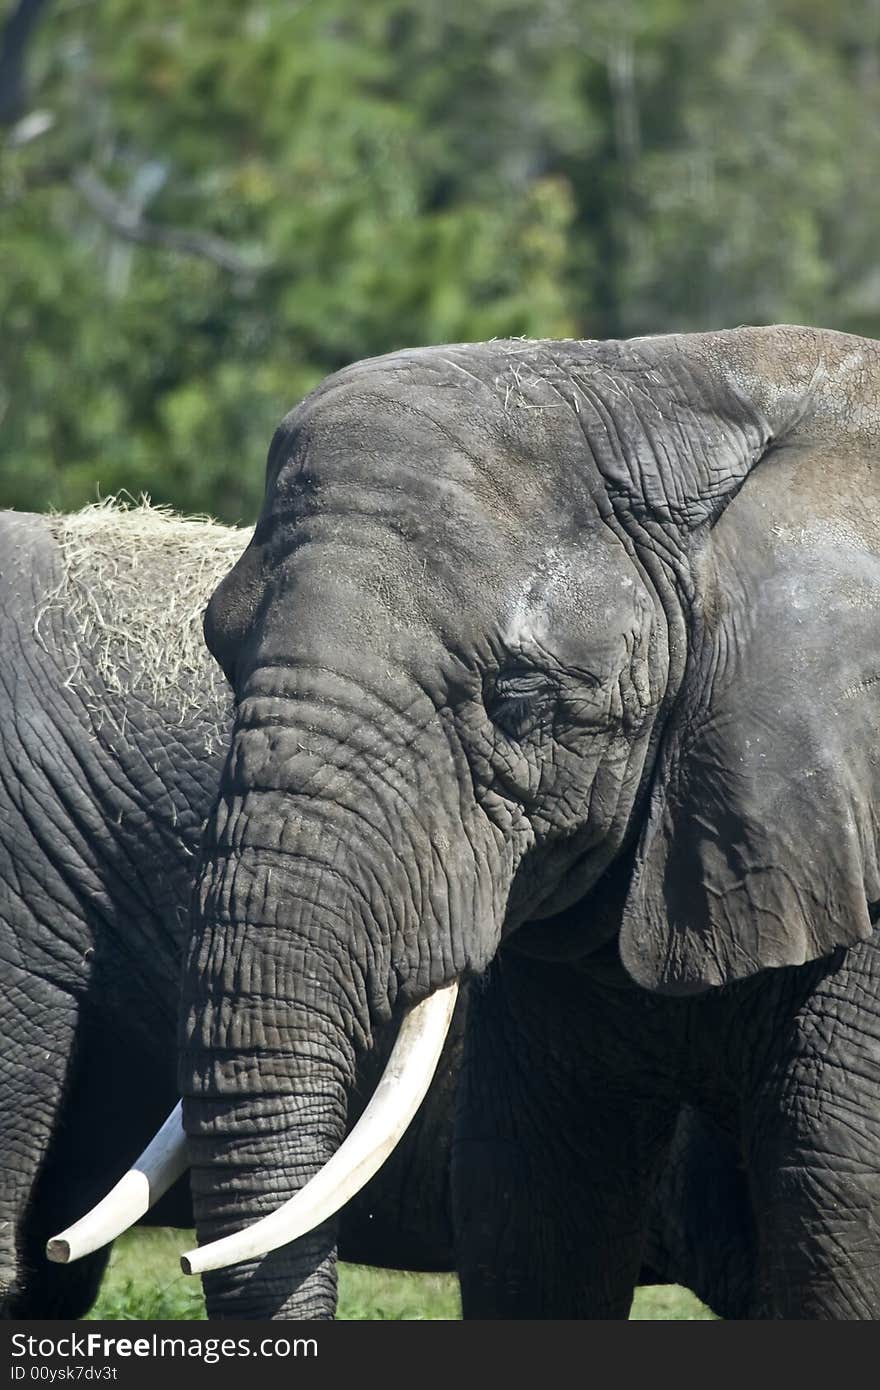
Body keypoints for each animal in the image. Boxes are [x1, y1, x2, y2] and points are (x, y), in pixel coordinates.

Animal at [163, 322, 878, 1312]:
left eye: (520, 697)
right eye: (221, 652)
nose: (187, 1261)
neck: (683, 381)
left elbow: (840, 1206)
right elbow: (531, 1200)